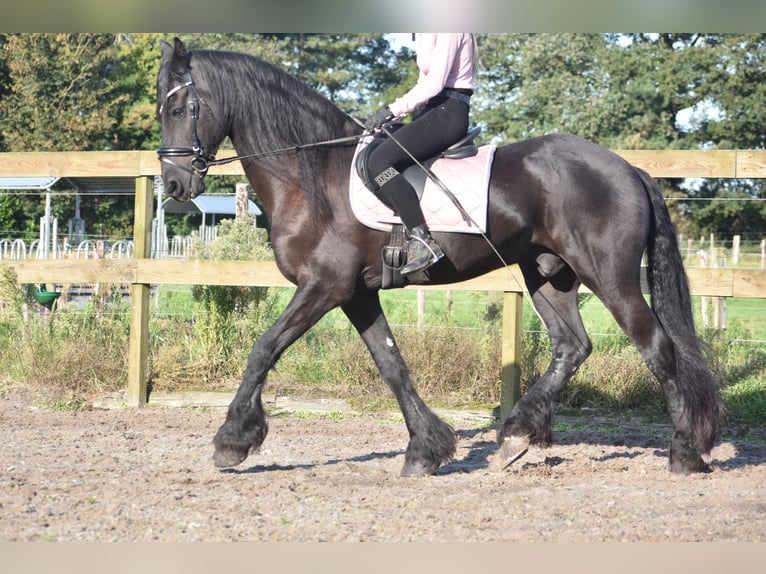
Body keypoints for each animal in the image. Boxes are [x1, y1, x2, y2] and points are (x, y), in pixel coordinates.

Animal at [159, 37, 724, 476]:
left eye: (179, 108)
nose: (175, 186)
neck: (312, 176)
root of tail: (628, 168)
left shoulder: (323, 286)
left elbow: (263, 348)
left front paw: (232, 441)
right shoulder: (356, 294)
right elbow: (392, 365)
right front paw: (425, 450)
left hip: (610, 277)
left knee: (656, 347)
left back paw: (685, 454)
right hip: (548, 274)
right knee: (572, 346)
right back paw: (517, 436)